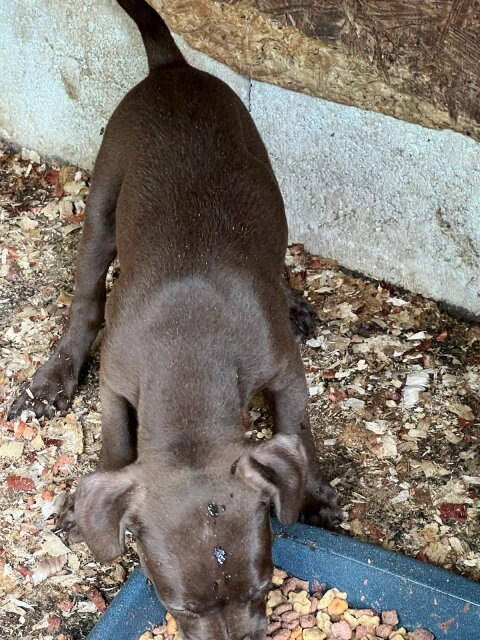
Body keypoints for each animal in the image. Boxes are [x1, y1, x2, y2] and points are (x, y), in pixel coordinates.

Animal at [10, 2, 342, 636]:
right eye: (180, 607)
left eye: (264, 586)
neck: (189, 356)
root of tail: (172, 69)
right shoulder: (117, 382)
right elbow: (116, 445)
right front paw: (87, 509)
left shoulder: (284, 369)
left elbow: (299, 431)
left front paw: (310, 499)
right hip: (103, 202)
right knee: (86, 299)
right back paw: (50, 381)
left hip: (264, 184)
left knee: (275, 251)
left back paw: (291, 300)